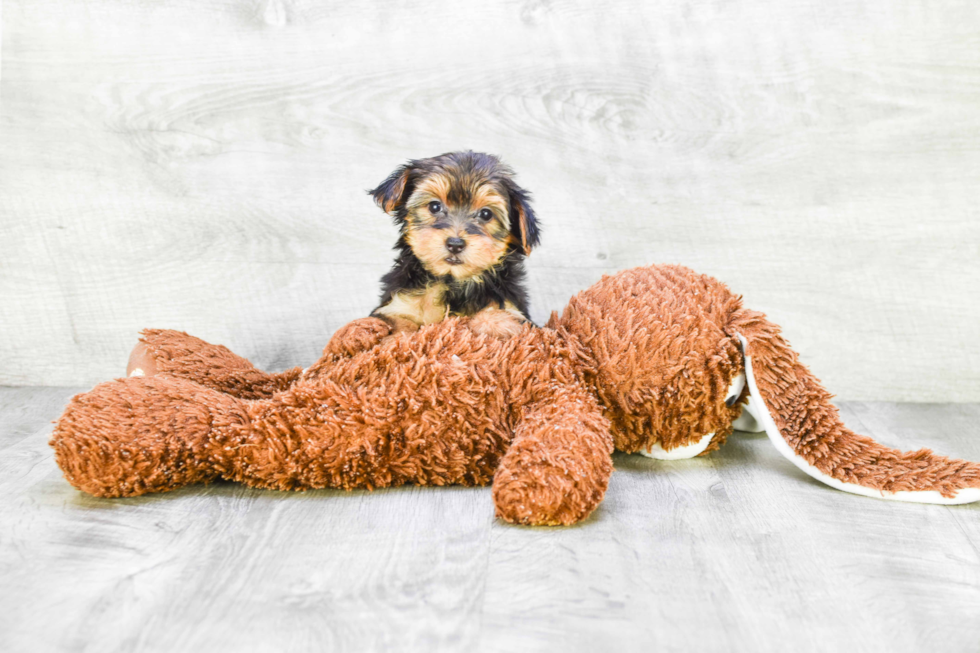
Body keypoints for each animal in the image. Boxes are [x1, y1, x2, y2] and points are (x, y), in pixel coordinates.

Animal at [368, 151, 540, 338]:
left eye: (486, 214)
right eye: (434, 206)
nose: (455, 244)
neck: (453, 282)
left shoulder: (514, 307)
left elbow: (502, 315)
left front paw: (496, 323)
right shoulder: (397, 305)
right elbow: (399, 324)